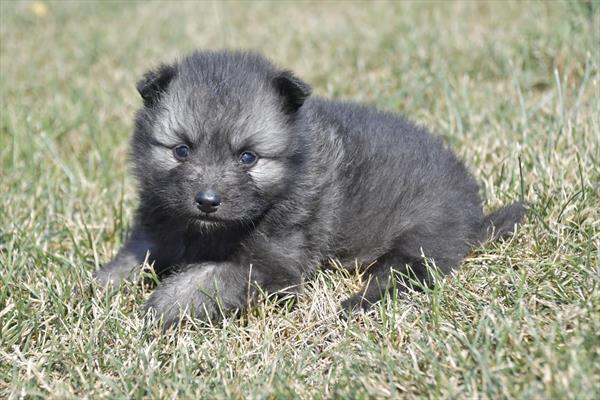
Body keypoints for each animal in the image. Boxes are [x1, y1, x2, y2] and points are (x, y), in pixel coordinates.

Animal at [94, 50, 524, 326]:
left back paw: (356, 304)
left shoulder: (275, 264)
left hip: (421, 240)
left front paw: (165, 304)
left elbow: (212, 275)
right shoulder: (158, 229)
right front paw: (99, 286)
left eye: (248, 157)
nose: (207, 202)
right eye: (181, 150)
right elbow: (132, 258)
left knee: (399, 276)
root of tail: (473, 205)